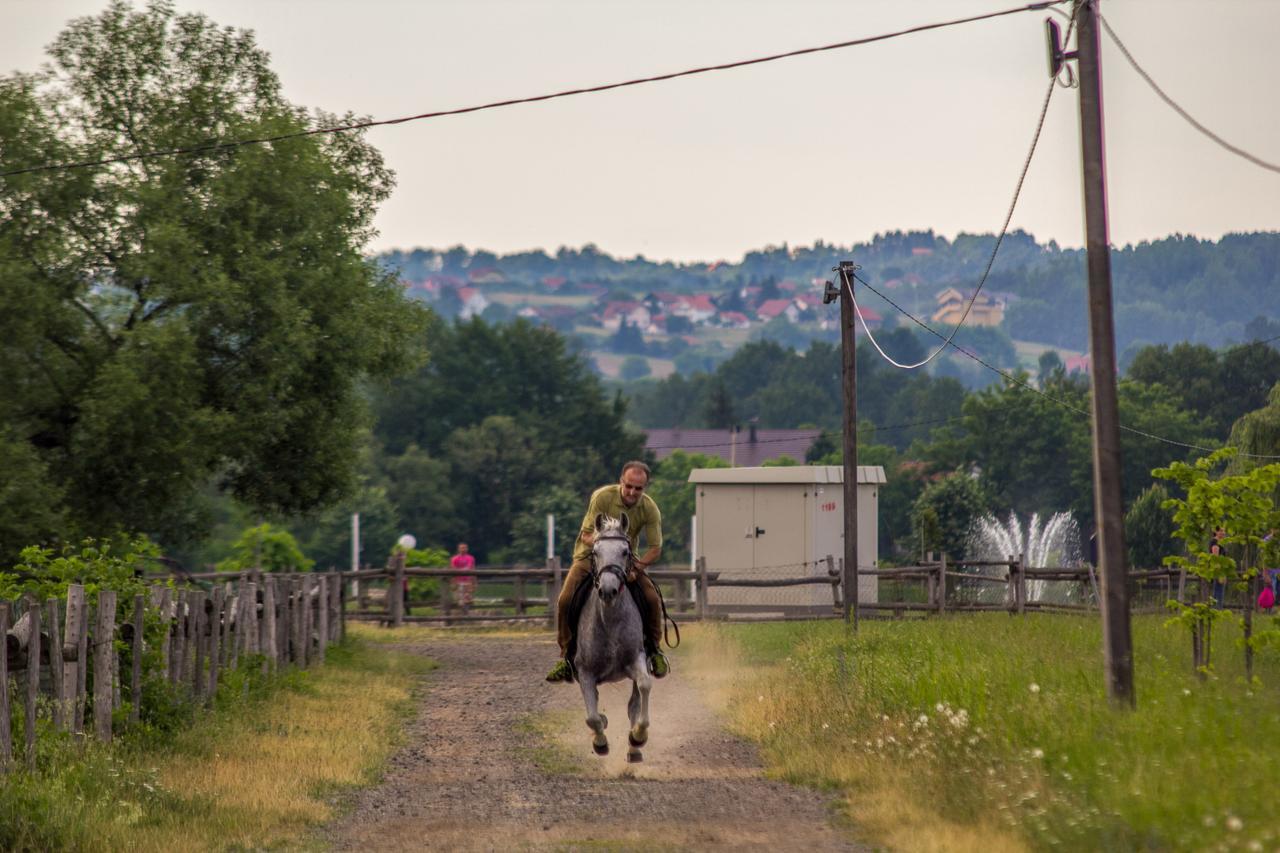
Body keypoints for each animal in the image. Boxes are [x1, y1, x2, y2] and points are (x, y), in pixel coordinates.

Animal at [581, 512, 660, 758]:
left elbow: (645, 685)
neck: (610, 622)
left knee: (634, 703)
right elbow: (592, 716)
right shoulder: (585, 672)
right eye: (595, 552)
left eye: (625, 551)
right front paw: (600, 741)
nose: (608, 590)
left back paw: (634, 748)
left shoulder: (637, 659)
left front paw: (638, 735)